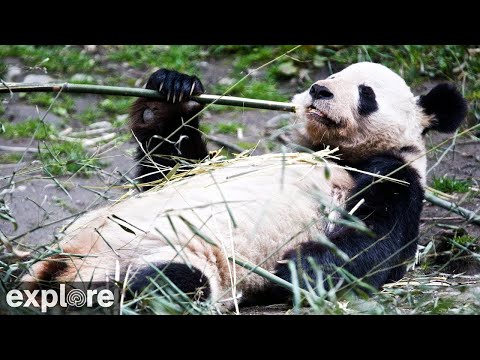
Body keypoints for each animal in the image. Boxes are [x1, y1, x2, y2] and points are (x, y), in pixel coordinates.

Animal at [20, 62, 466, 310]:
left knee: (168, 284)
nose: (319, 89)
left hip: (168, 259)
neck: (331, 150)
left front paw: (302, 268)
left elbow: (377, 239)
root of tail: (58, 270)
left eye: (366, 93)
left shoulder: (395, 173)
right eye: (331, 76)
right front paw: (172, 90)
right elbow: (172, 165)